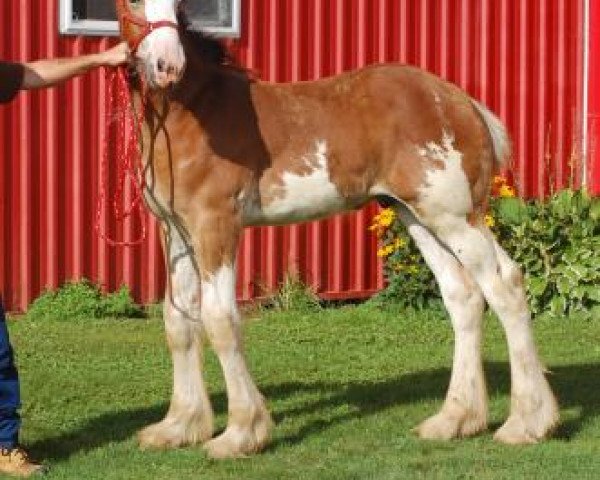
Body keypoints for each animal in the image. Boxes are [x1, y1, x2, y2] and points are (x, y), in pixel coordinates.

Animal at [115, 0, 560, 458]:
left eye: (177, 6)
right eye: (131, 4)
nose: (168, 65)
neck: (195, 112)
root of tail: (463, 102)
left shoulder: (216, 225)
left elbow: (220, 320)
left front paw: (241, 433)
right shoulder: (176, 231)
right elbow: (178, 321)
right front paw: (179, 426)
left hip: (455, 216)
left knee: (505, 286)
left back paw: (526, 423)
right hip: (417, 217)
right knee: (463, 296)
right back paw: (454, 420)